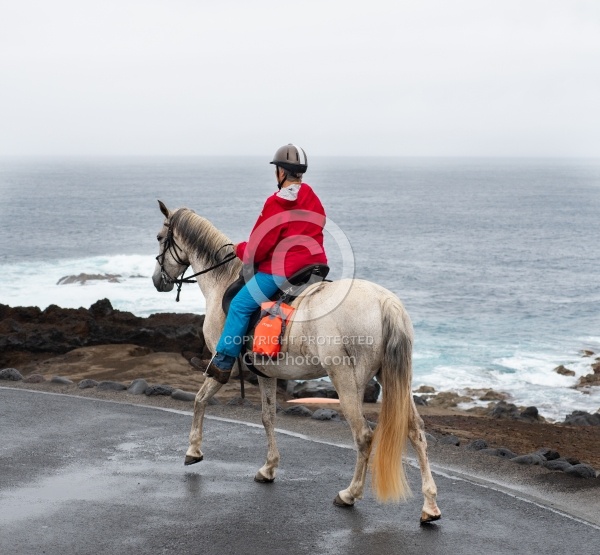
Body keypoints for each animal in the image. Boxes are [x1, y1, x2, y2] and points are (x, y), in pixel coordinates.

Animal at [151, 202, 440, 524]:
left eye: (161, 238)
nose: (157, 281)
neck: (223, 280)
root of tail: (383, 302)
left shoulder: (219, 364)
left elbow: (200, 400)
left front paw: (194, 450)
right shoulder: (266, 372)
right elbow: (268, 416)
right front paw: (269, 468)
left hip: (346, 380)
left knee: (364, 436)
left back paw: (349, 494)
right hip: (393, 377)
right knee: (416, 431)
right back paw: (429, 506)